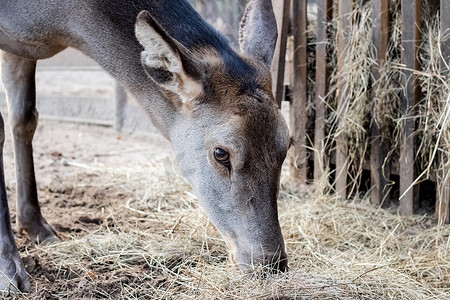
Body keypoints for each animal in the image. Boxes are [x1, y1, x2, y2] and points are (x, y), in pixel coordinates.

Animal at [0, 0, 290, 292]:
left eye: (287, 143)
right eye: (221, 153)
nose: (271, 264)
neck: (55, 24)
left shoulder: (19, 48)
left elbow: (24, 118)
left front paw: (36, 226)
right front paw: (11, 273)